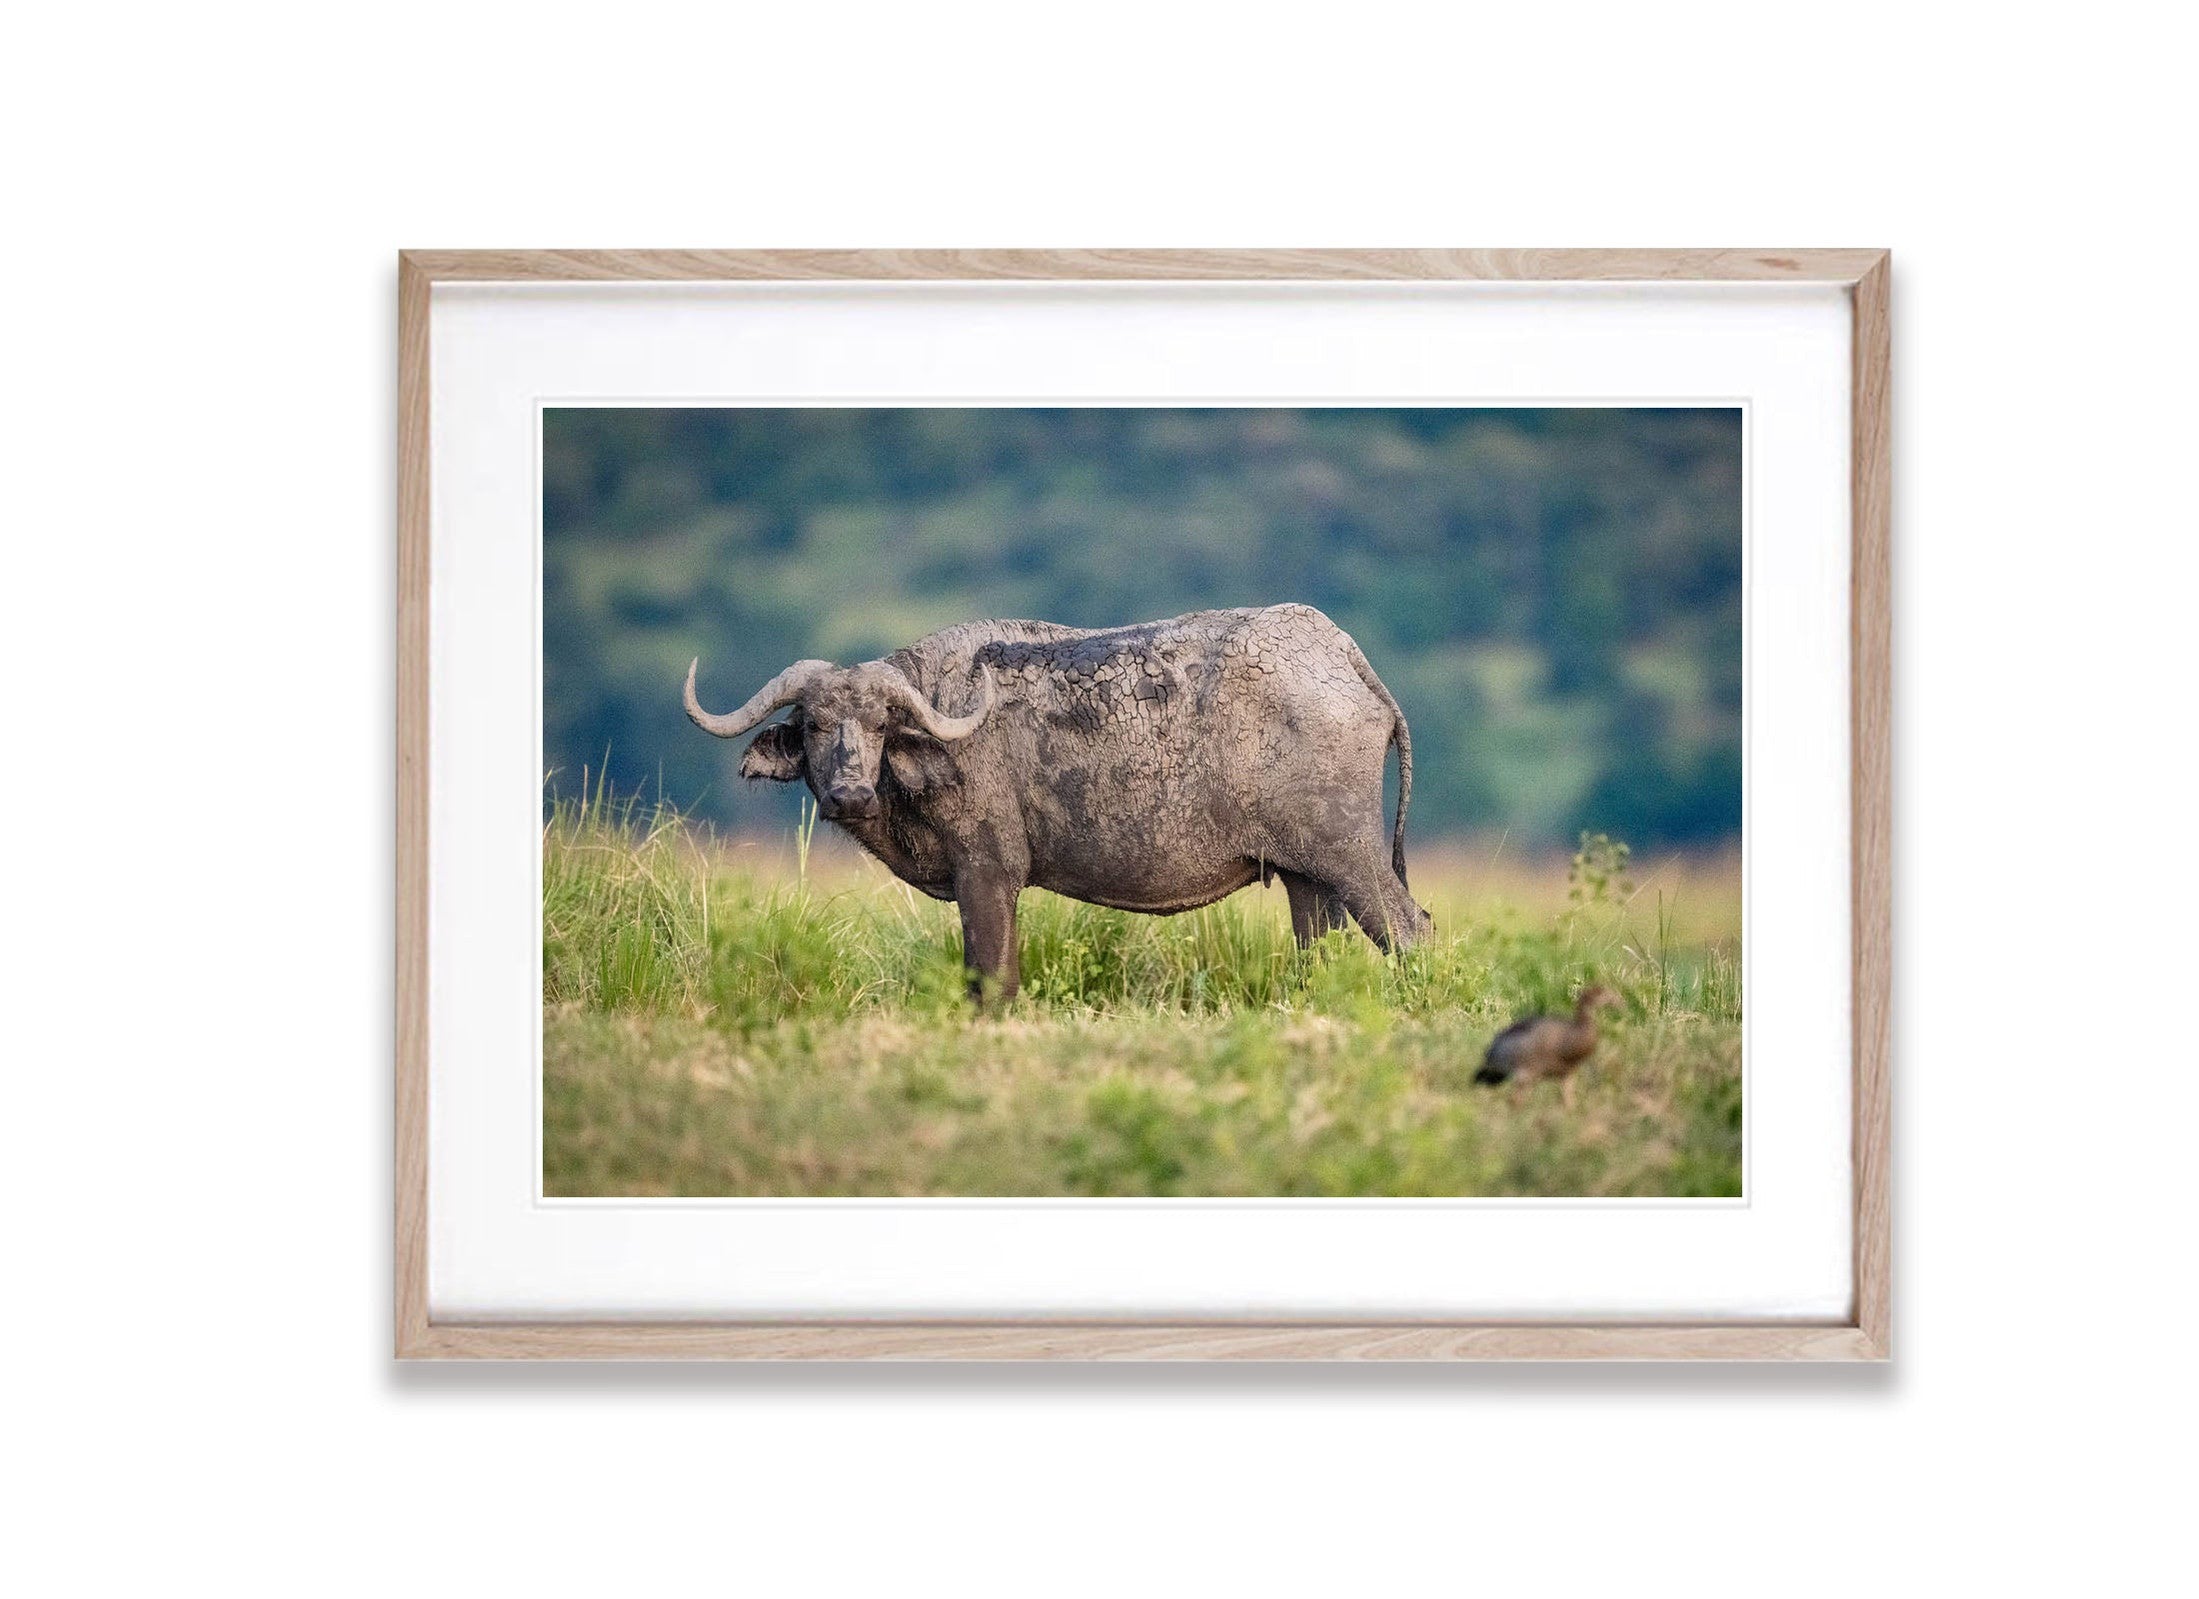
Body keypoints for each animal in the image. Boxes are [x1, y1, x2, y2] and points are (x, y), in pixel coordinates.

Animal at [690, 602, 1442, 1002]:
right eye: (815, 724)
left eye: (879, 724)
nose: (849, 791)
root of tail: (1342, 655)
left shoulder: (987, 873)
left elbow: (992, 977)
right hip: (1305, 878)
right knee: (1320, 955)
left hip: (1350, 858)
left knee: (1412, 929)